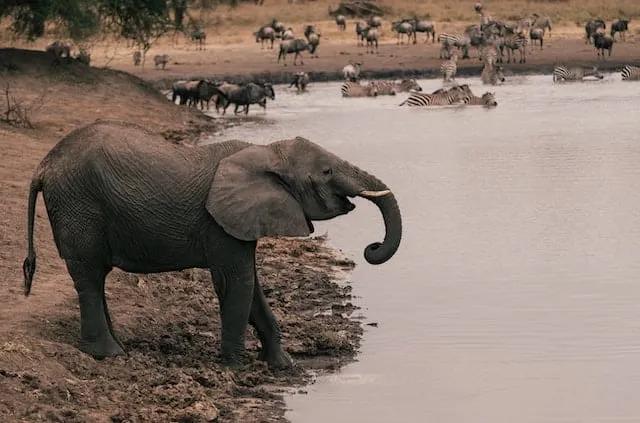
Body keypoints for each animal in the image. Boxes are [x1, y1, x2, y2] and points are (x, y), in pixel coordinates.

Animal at [23, 121, 402, 369]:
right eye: (326, 172)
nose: (371, 248)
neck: (268, 152)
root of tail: (43, 165)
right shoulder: (219, 223)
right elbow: (237, 283)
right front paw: (236, 368)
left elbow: (253, 286)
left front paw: (283, 365)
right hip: (78, 204)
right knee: (88, 275)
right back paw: (107, 354)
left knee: (96, 276)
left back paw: (117, 347)